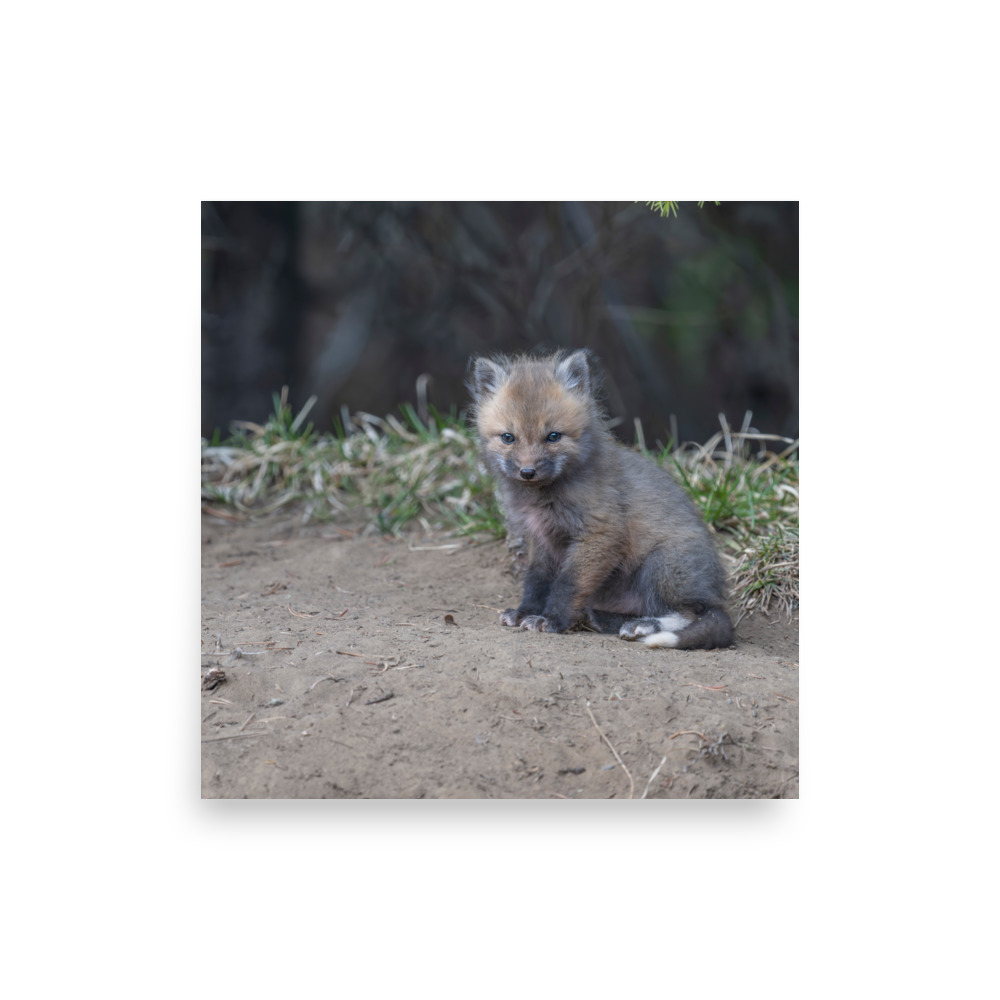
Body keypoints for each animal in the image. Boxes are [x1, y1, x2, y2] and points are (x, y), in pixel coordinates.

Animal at [468, 349, 733, 650]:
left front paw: (551, 620)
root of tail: (715, 592)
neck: (543, 498)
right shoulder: (542, 539)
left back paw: (643, 626)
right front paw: (526, 611)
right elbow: (536, 581)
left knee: (691, 613)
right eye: (508, 437)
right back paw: (603, 618)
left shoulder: (599, 533)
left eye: (553, 436)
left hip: (662, 565)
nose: (527, 472)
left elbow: (567, 584)